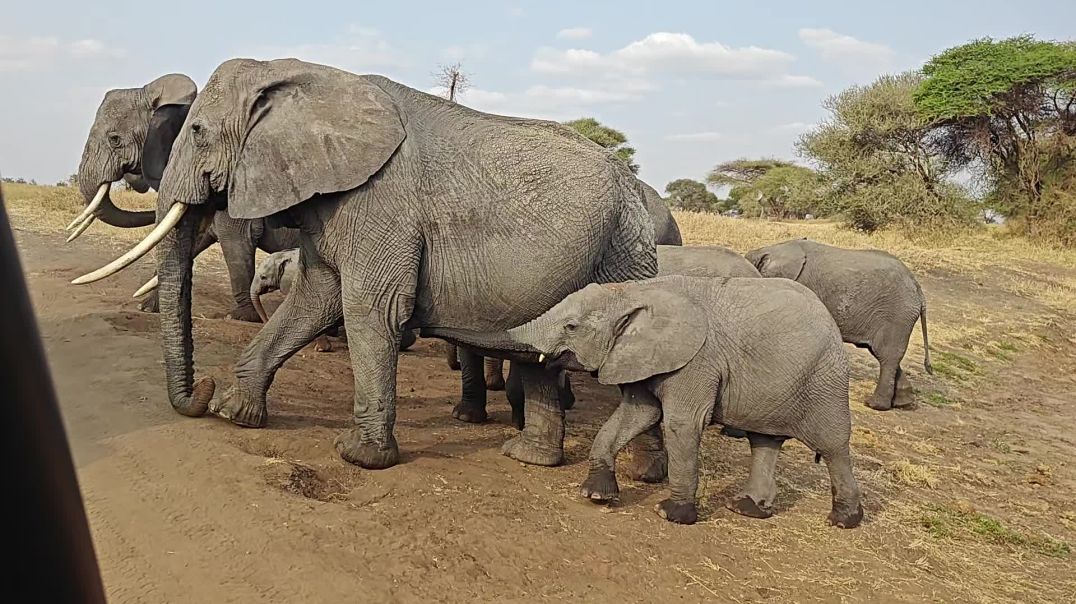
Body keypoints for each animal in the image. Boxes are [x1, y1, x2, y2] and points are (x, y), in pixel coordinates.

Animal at [445, 276, 862, 528]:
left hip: (824, 378)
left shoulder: (696, 360)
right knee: (764, 441)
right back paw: (746, 508)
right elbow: (634, 414)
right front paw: (596, 494)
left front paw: (672, 513)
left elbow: (681, 423)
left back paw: (844, 520)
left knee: (833, 446)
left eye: (571, 327)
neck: (632, 293)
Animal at [745, 239, 932, 411]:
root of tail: (918, 288)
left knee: (886, 355)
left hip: (896, 314)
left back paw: (874, 405)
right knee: (884, 353)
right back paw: (904, 402)